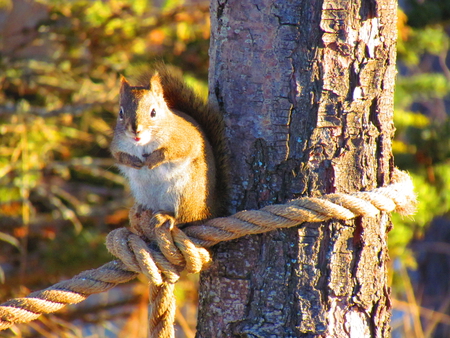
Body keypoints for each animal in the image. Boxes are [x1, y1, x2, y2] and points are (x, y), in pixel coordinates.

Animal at [109, 64, 229, 227]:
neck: (142, 144)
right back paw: (141, 209)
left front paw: (153, 159)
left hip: (185, 193)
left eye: (153, 112)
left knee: (185, 218)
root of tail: (210, 210)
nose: (135, 130)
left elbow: (174, 151)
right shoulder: (117, 144)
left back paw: (168, 217)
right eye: (120, 112)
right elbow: (118, 156)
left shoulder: (184, 138)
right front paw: (132, 161)